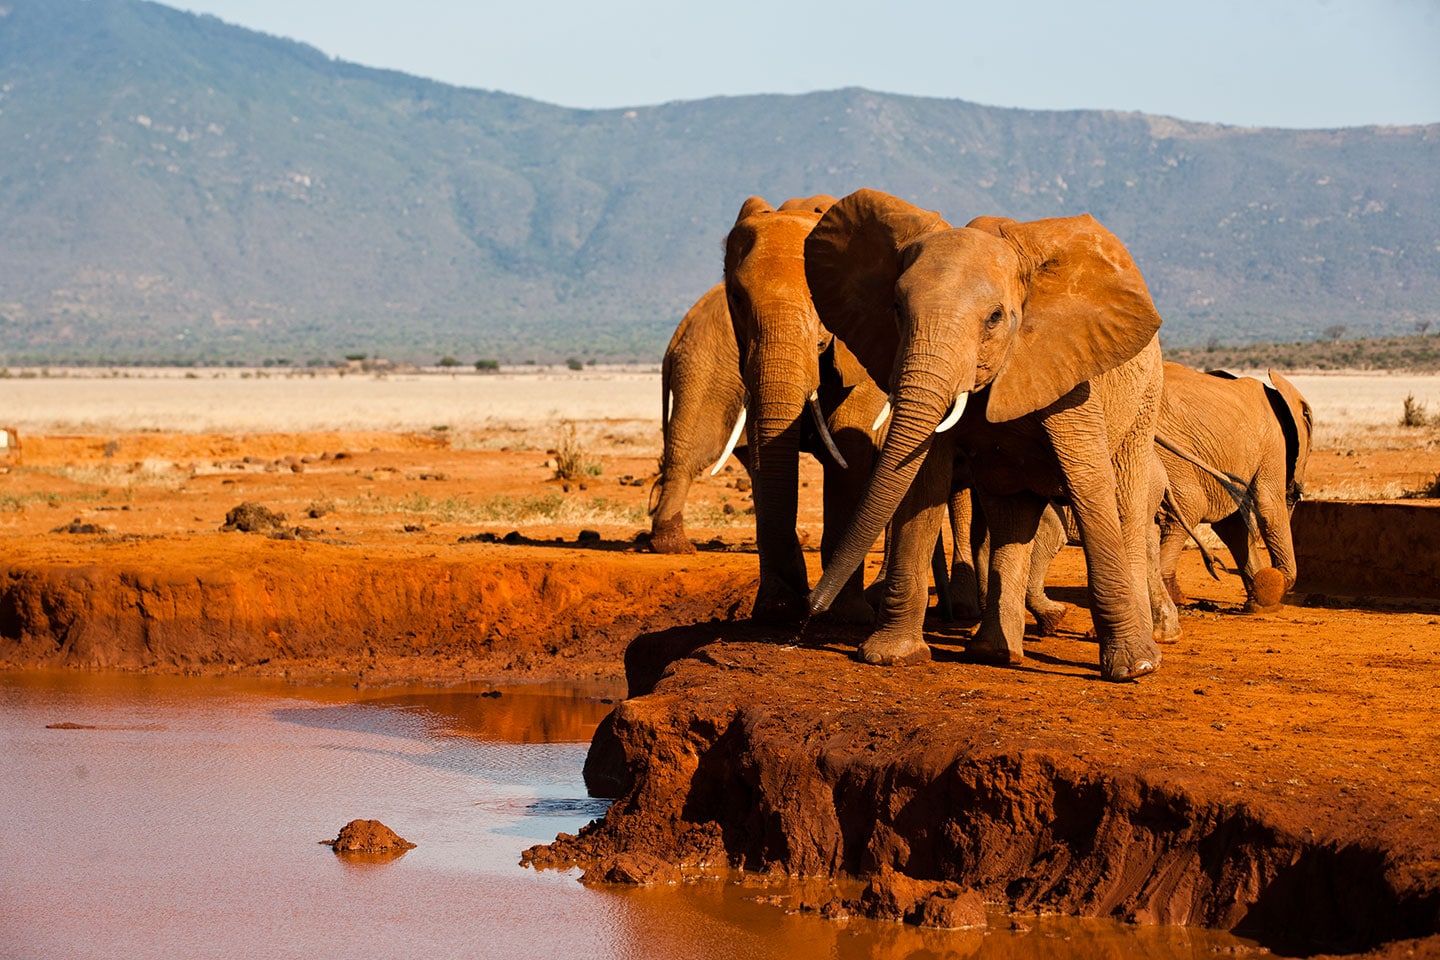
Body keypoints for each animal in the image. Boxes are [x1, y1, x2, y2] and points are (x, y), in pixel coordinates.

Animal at [723, 194, 890, 624]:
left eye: (820, 300)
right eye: (736, 299)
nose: (801, 605)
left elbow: (850, 446)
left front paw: (846, 615)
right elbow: (762, 447)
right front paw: (775, 608)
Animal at [804, 188, 1168, 682]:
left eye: (995, 317)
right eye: (896, 309)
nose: (810, 611)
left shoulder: (1073, 378)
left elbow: (1088, 483)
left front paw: (1132, 670)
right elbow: (922, 483)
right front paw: (890, 656)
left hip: (1144, 396)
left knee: (1126, 506)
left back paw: (1142, 656)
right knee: (1013, 517)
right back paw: (994, 653)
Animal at [1155, 362, 1313, 612]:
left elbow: (1233, 525)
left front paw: (1261, 603)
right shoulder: (1273, 442)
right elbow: (1268, 505)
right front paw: (1272, 589)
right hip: (1169, 452)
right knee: (1188, 507)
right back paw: (1173, 600)